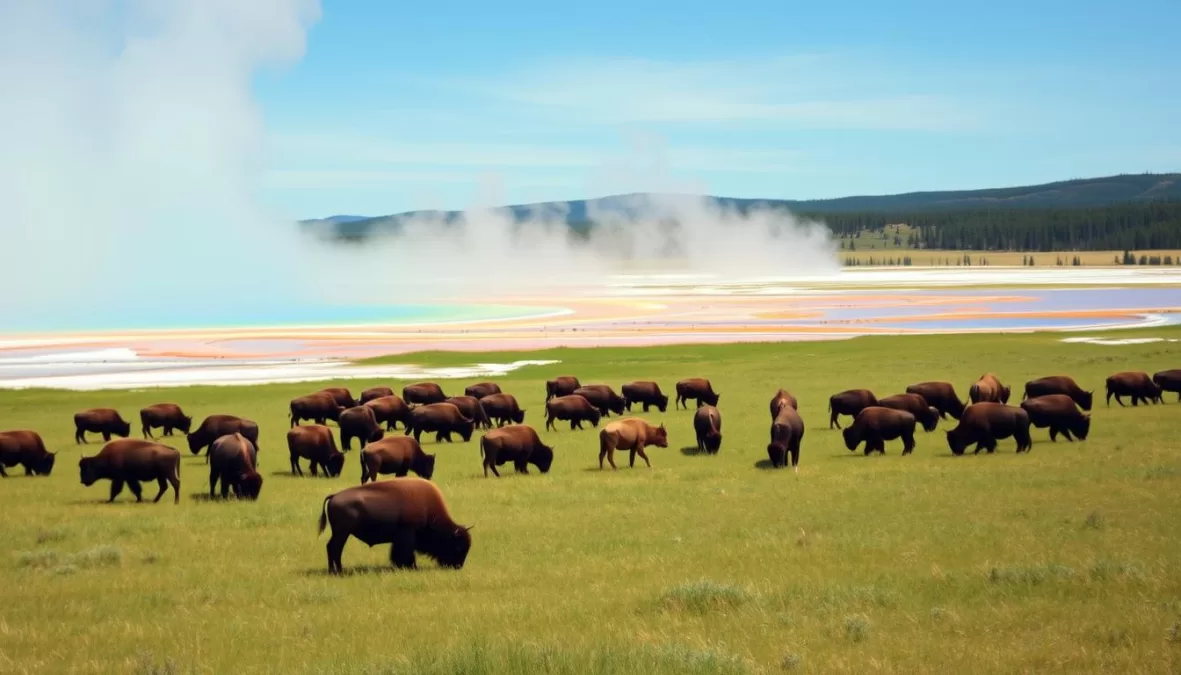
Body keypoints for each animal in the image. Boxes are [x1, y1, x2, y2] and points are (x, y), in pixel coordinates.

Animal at [318, 478, 472, 574]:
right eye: (458, 547)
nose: (458, 566)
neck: (429, 511)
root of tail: (334, 496)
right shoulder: (407, 535)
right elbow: (405, 553)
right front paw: (411, 567)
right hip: (342, 533)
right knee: (335, 548)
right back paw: (338, 571)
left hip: (340, 533)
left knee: (331, 547)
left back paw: (334, 570)